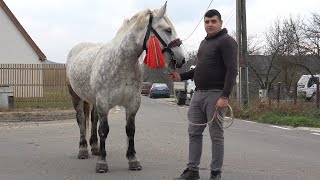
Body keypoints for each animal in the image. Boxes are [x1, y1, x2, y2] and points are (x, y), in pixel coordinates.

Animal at [65, 2, 185, 172]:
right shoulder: (104, 102)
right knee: (82, 119)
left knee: (93, 119)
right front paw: (102, 163)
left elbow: (130, 130)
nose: (181, 59)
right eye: (168, 30)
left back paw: (94, 147)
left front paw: (133, 159)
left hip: (93, 100)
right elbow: (104, 130)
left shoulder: (132, 103)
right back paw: (83, 149)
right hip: (76, 96)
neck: (121, 62)